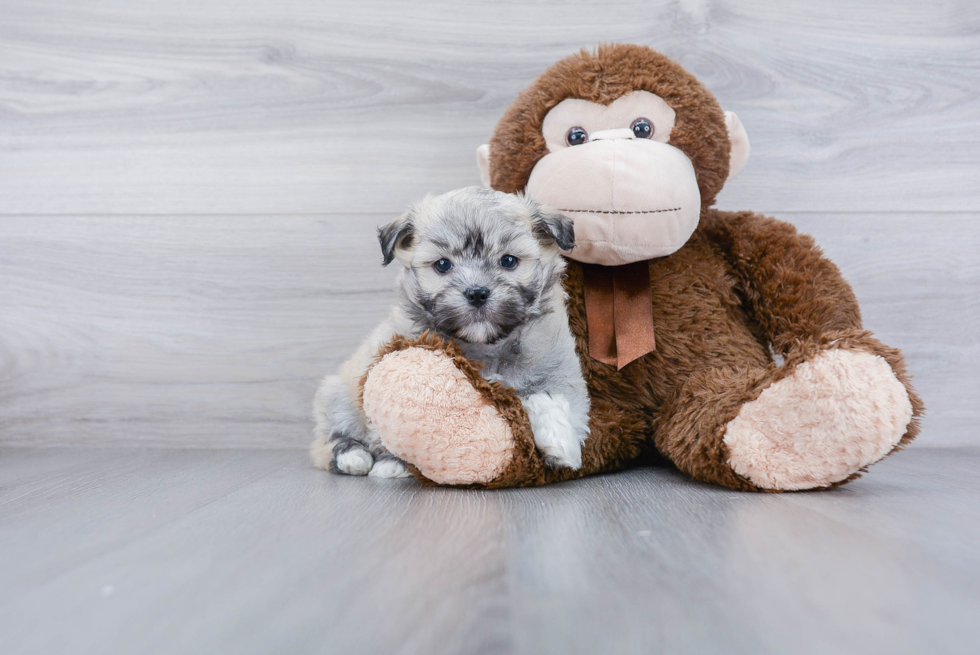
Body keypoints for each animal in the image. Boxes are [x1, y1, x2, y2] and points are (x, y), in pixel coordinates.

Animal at [314, 187, 588, 480]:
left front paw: (560, 444)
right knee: (333, 438)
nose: (477, 293)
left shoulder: (560, 372)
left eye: (508, 261)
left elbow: (550, 399)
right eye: (443, 265)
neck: (486, 346)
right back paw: (354, 457)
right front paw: (392, 461)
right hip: (338, 397)